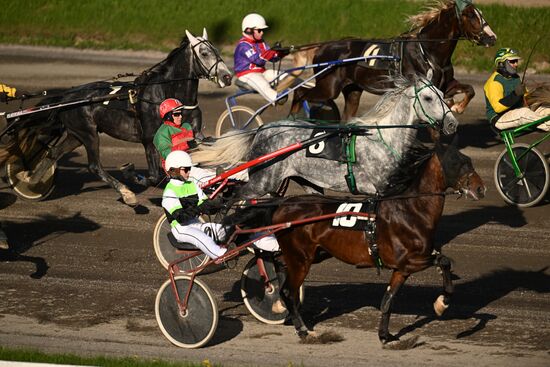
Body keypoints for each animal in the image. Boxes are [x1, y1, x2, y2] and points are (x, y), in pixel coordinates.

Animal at [12, 28, 233, 206]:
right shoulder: (149, 140)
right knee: (94, 166)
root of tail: (68, 96)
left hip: (76, 135)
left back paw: (30, 181)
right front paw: (133, 174)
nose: (227, 76)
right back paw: (127, 194)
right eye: (204, 53)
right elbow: (154, 176)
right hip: (88, 133)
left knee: (54, 152)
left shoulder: (195, 135)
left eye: (218, 51)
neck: (167, 94)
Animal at [192, 75, 460, 201]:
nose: (452, 124)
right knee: (234, 197)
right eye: (428, 98)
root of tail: (262, 130)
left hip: (307, 183)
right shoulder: (380, 189)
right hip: (261, 182)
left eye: (442, 93)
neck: (381, 138)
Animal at [272, 142, 488, 344]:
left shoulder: (402, 270)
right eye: (457, 162)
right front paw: (442, 303)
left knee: (280, 272)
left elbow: (388, 300)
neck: (411, 210)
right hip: (300, 259)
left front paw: (385, 334)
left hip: (311, 254)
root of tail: (283, 206)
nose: (481, 188)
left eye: (468, 160)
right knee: (290, 292)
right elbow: (444, 261)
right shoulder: (409, 261)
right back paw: (302, 330)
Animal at [284, 0, 500, 121]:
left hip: (352, 90)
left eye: (480, 14)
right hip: (329, 86)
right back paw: (293, 117)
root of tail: (322, 47)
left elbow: (470, 89)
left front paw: (457, 106)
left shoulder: (446, 85)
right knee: (300, 93)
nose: (492, 37)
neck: (428, 51)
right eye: (470, 15)